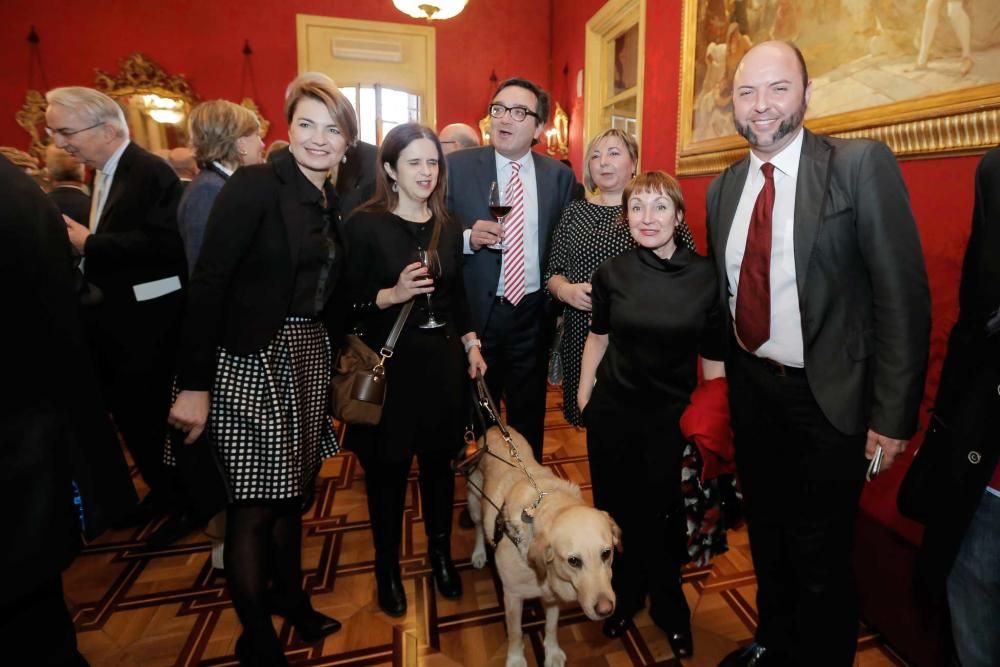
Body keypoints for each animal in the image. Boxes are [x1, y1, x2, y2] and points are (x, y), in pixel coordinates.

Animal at [466, 428, 616, 667]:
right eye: (574, 561)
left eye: (606, 554)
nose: (606, 610)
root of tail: (494, 429)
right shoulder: (513, 597)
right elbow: (516, 633)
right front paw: (516, 660)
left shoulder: (553, 598)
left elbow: (552, 627)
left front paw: (552, 653)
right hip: (474, 501)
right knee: (480, 527)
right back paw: (479, 553)